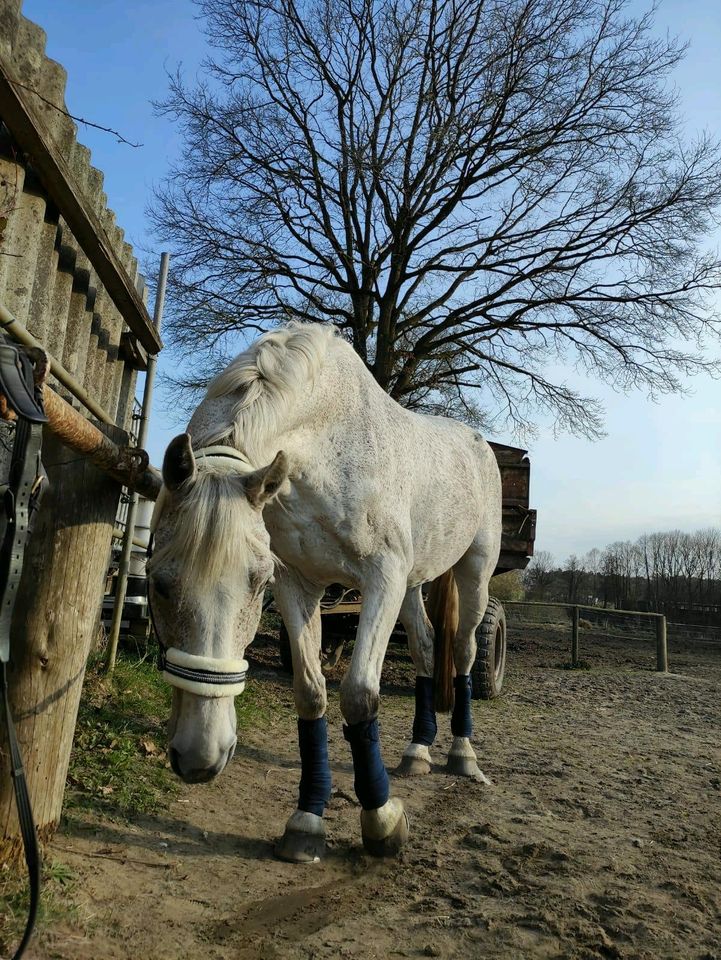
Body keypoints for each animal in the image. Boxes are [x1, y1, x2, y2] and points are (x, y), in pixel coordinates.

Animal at [146, 324, 500, 864]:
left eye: (255, 583)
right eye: (159, 582)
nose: (200, 757)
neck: (325, 444)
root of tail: (479, 443)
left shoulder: (381, 579)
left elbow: (358, 696)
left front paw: (382, 821)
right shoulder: (299, 583)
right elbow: (311, 693)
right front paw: (306, 821)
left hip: (473, 572)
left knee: (462, 650)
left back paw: (462, 754)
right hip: (414, 583)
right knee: (424, 646)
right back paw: (417, 751)